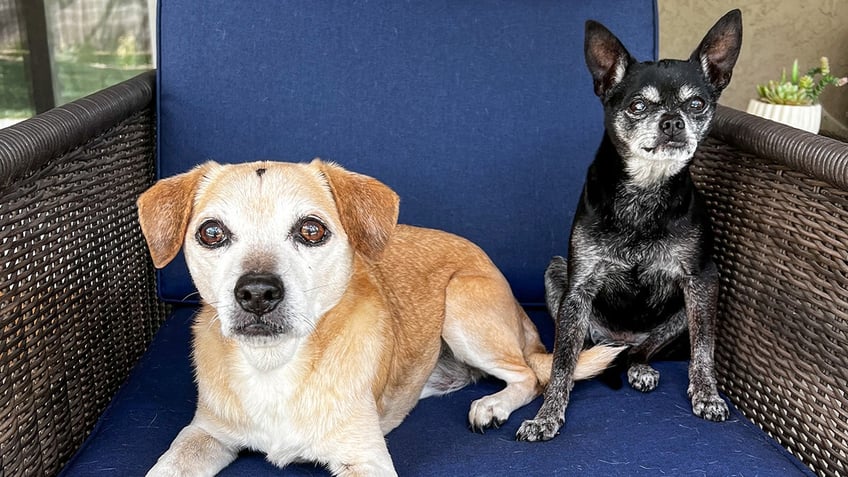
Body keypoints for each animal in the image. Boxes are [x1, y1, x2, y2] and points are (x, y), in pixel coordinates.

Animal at [136, 160, 620, 476]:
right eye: (211, 233)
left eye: (311, 230)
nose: (257, 292)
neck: (274, 366)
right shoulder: (203, 434)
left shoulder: (364, 459)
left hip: (463, 308)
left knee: (529, 375)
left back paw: (493, 405)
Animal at [512, 9, 740, 440]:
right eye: (637, 106)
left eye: (698, 103)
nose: (673, 122)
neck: (644, 192)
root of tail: (622, 339)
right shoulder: (578, 289)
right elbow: (562, 363)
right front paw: (547, 415)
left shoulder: (703, 281)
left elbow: (703, 348)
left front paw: (707, 395)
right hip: (558, 279)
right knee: (588, 353)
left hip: (680, 314)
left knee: (642, 351)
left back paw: (640, 367)